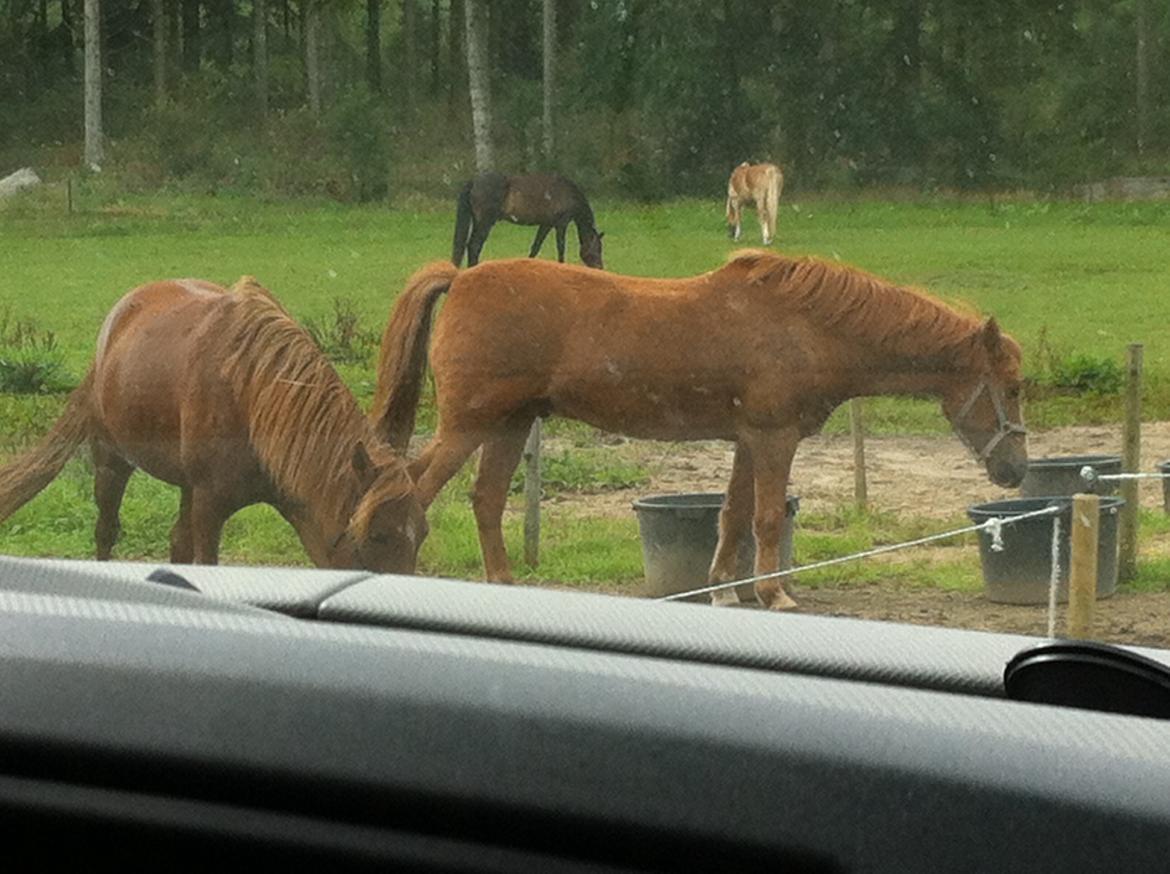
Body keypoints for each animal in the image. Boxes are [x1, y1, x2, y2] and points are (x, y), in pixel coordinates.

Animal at [0, 277, 428, 570]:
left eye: (421, 535)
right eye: (377, 535)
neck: (252, 396)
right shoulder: (209, 506)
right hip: (111, 462)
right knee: (106, 530)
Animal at [369, 249, 1029, 613]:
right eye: (1015, 387)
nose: (1016, 470)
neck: (807, 326)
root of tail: (461, 278)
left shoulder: (748, 441)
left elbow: (733, 516)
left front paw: (723, 588)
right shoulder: (774, 438)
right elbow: (766, 518)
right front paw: (774, 592)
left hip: (508, 425)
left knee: (484, 501)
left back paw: (503, 582)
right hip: (467, 426)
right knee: (414, 491)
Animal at [451, 169, 608, 266]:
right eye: (597, 248)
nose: (600, 267)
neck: (569, 193)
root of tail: (474, 181)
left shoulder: (546, 224)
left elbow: (535, 247)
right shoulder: (561, 224)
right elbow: (561, 247)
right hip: (484, 222)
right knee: (474, 246)